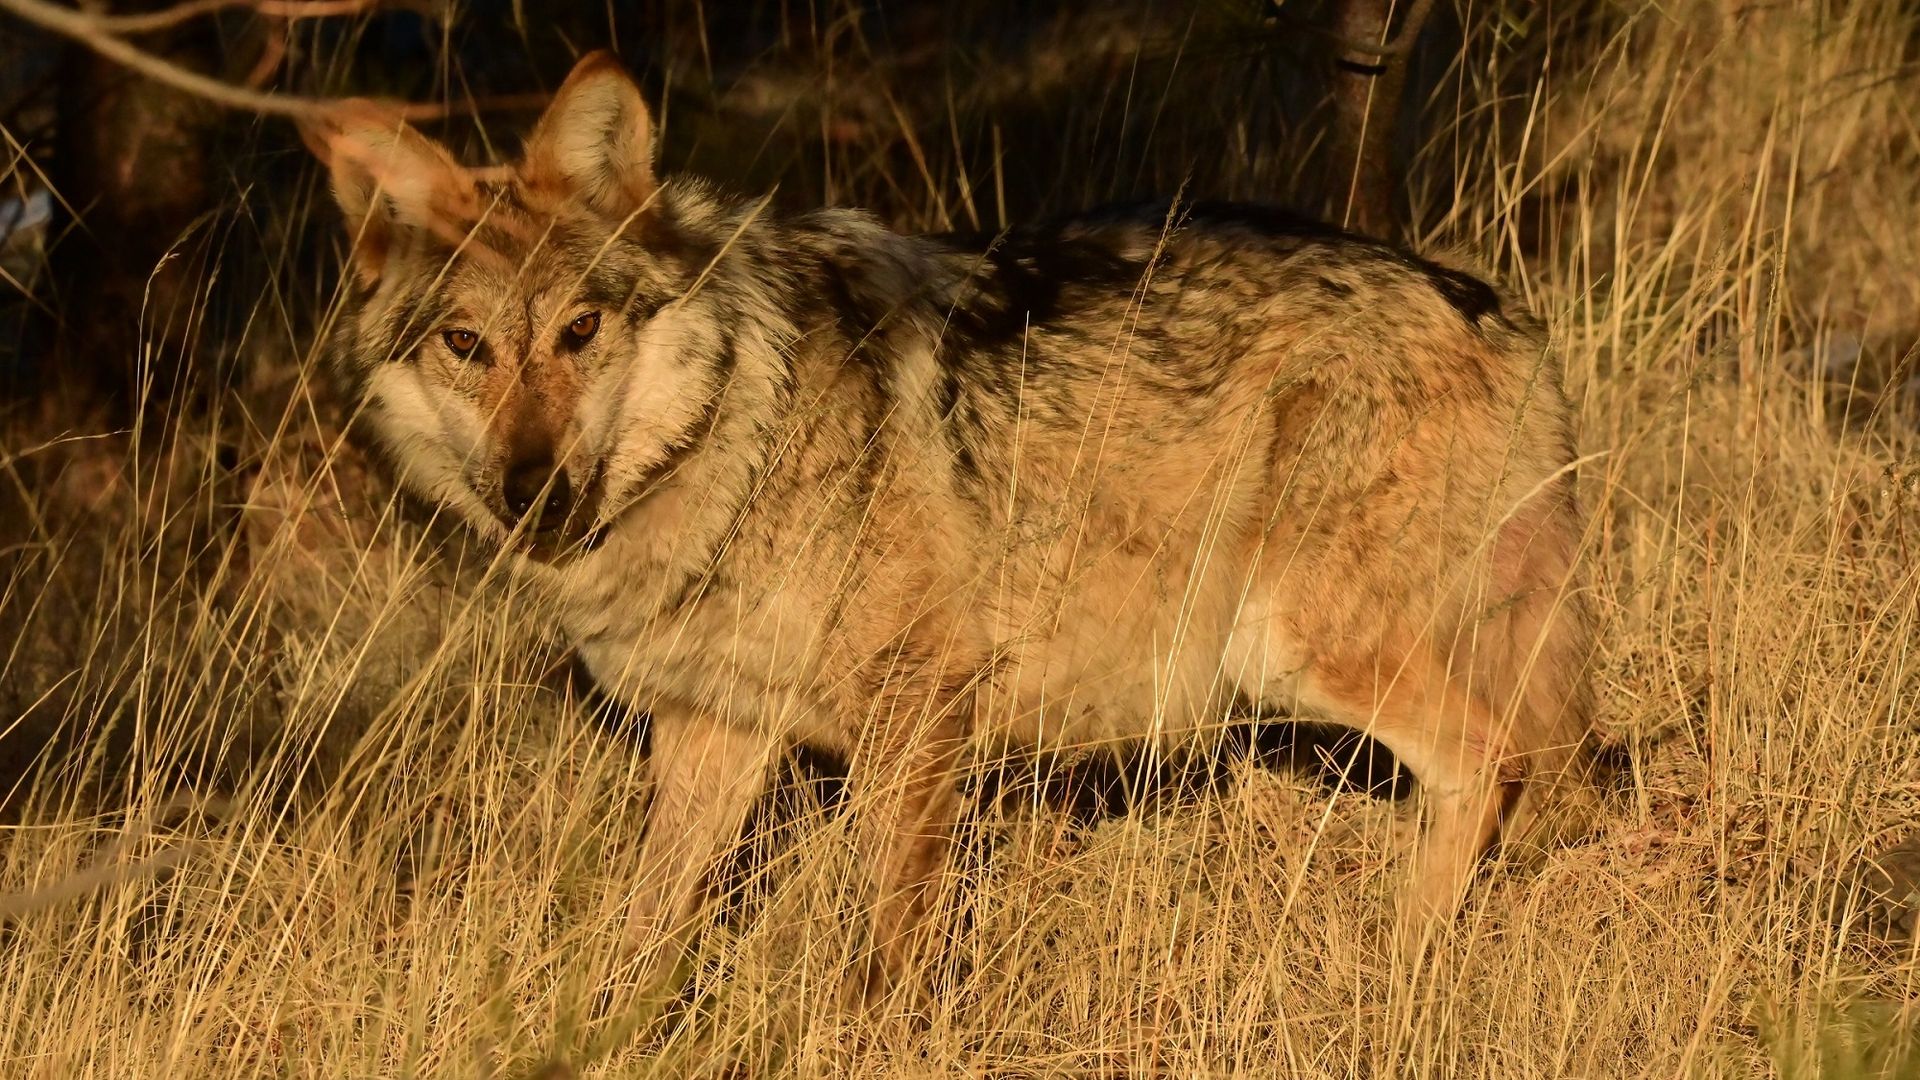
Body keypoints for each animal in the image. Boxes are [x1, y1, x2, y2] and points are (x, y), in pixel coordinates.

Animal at [305, 50, 1598, 1004]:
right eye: (466, 346)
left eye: (580, 331)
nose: (532, 490)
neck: (739, 430)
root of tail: (1497, 311)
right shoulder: (715, 737)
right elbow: (642, 933)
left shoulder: (920, 715)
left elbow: (890, 955)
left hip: (1290, 646)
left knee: (1486, 765)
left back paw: (1401, 973)